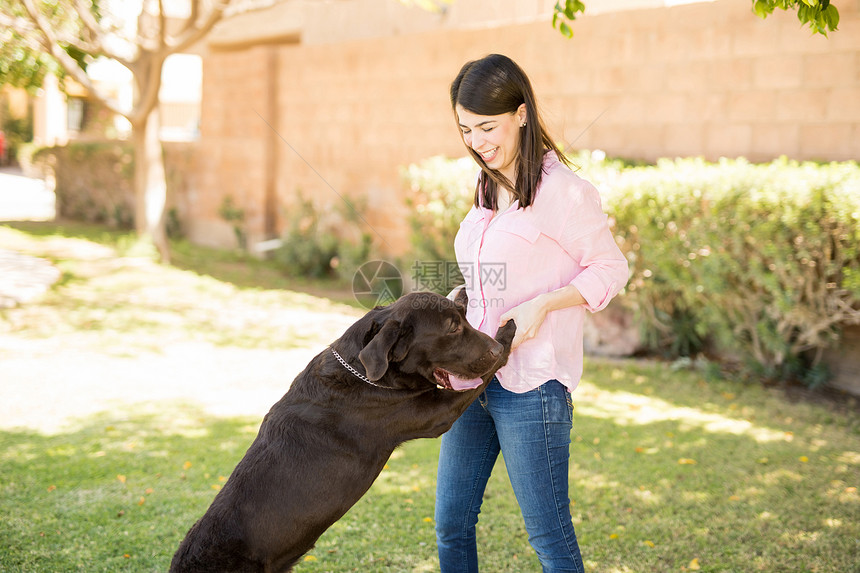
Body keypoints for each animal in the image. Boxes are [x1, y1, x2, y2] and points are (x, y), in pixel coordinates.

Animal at [171, 292, 512, 568]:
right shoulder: (435, 413)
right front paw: (509, 334)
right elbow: (480, 380)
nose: (494, 347)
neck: (364, 371)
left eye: (464, 317)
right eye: (452, 328)